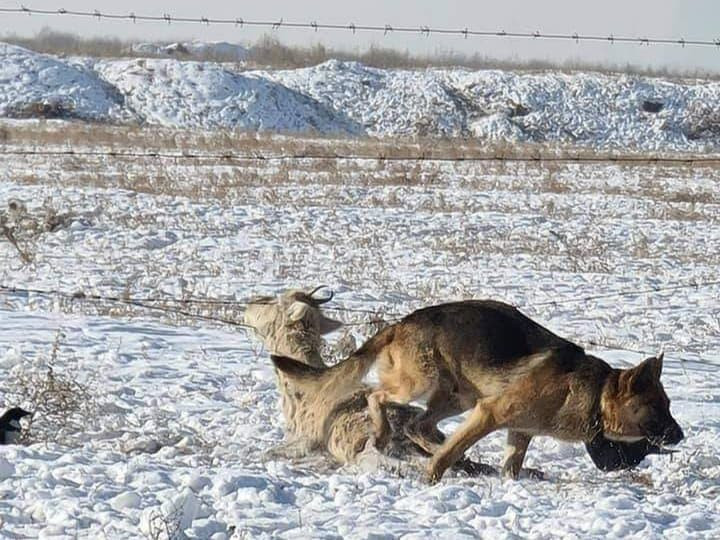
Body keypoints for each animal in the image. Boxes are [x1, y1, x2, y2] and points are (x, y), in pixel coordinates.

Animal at [272, 302, 688, 484]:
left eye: (668, 405)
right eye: (657, 406)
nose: (681, 435)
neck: (596, 394)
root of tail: (400, 323)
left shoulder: (519, 431)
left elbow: (511, 466)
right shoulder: (491, 413)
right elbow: (452, 453)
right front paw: (432, 478)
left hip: (457, 397)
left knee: (420, 426)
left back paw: (426, 442)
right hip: (422, 384)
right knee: (378, 396)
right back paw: (383, 431)